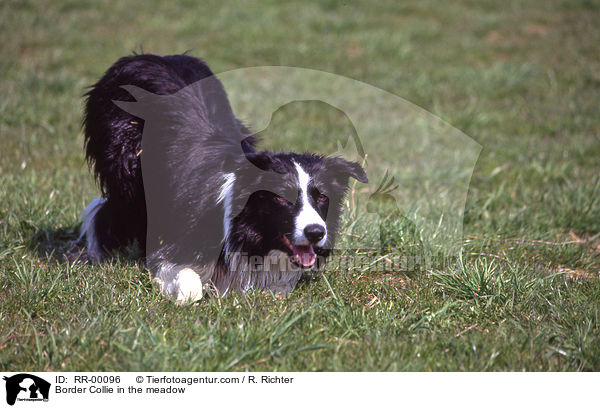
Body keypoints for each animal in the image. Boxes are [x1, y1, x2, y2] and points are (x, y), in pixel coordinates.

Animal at [79, 53, 368, 300]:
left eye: (321, 197)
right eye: (281, 198)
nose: (316, 233)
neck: (247, 233)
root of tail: (144, 56)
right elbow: (188, 284)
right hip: (127, 170)